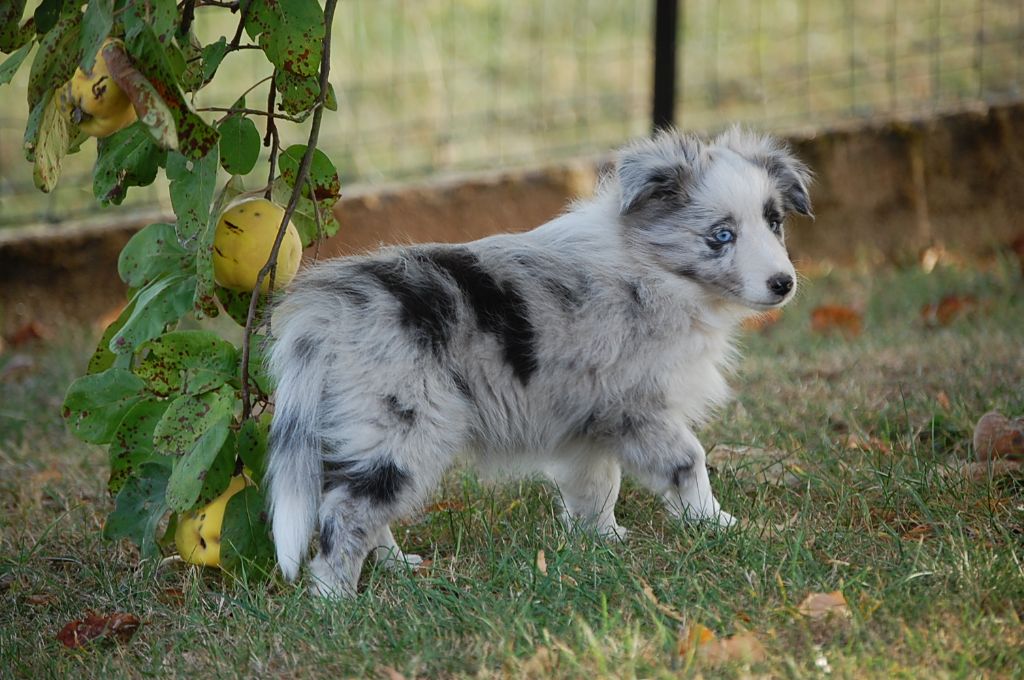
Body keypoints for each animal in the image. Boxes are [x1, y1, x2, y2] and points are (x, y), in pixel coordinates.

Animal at [268, 127, 811, 593]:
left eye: (775, 222)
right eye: (721, 235)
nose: (784, 284)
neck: (652, 268)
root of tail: (327, 310)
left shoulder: (588, 421)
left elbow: (597, 484)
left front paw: (601, 540)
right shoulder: (636, 406)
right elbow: (688, 461)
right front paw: (717, 523)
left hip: (366, 426)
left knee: (353, 500)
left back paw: (396, 564)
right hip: (404, 424)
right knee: (348, 510)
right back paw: (335, 599)